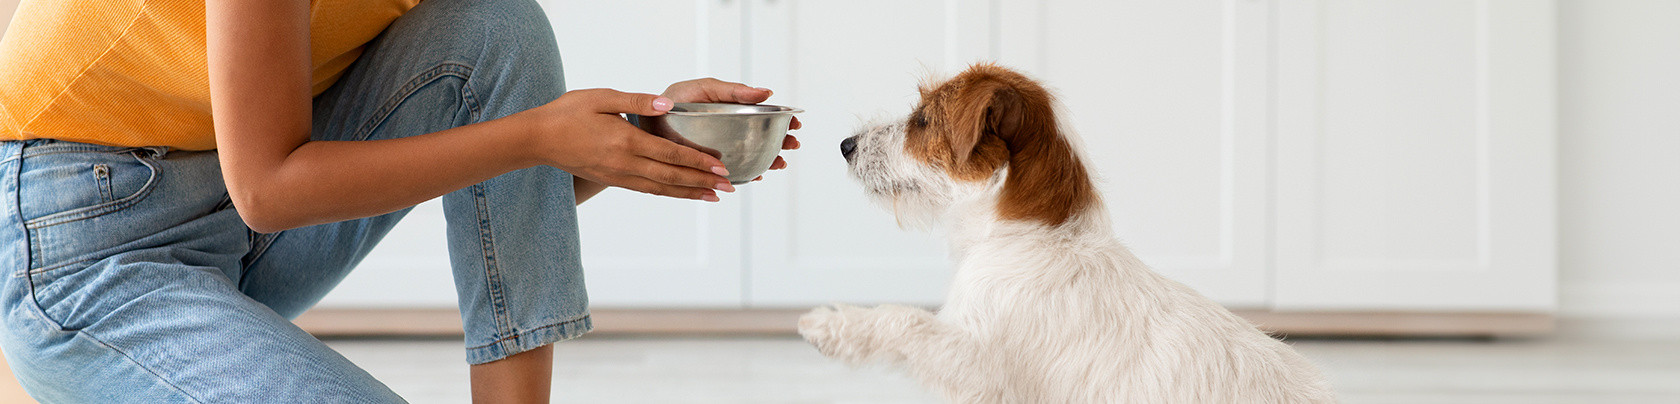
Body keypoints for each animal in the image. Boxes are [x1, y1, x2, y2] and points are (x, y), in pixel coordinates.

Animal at [799, 64, 1337, 402]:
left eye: (923, 119)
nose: (845, 144)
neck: (1030, 236)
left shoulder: (978, 364)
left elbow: (904, 319)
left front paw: (831, 324)